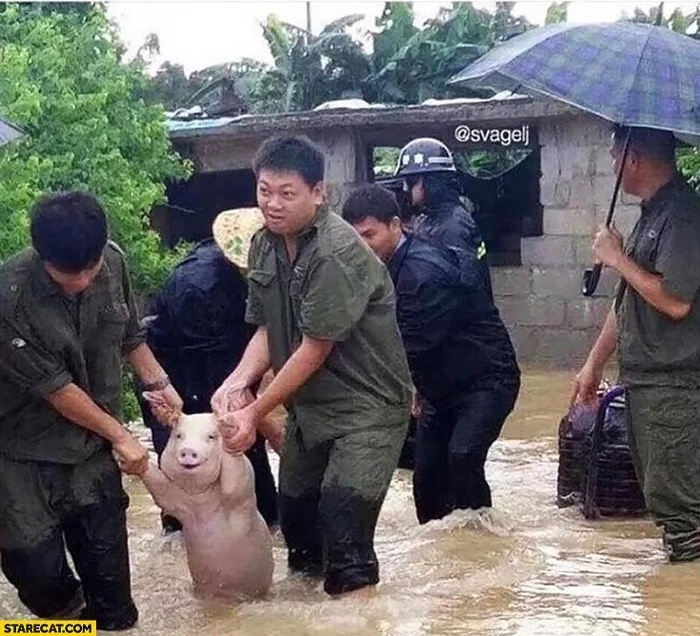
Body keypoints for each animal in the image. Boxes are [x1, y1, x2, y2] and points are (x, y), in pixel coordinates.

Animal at [139, 412, 274, 600]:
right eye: (179, 435)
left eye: (211, 436)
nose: (188, 450)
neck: (200, 501)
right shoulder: (177, 502)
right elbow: (162, 491)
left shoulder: (242, 492)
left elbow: (233, 484)